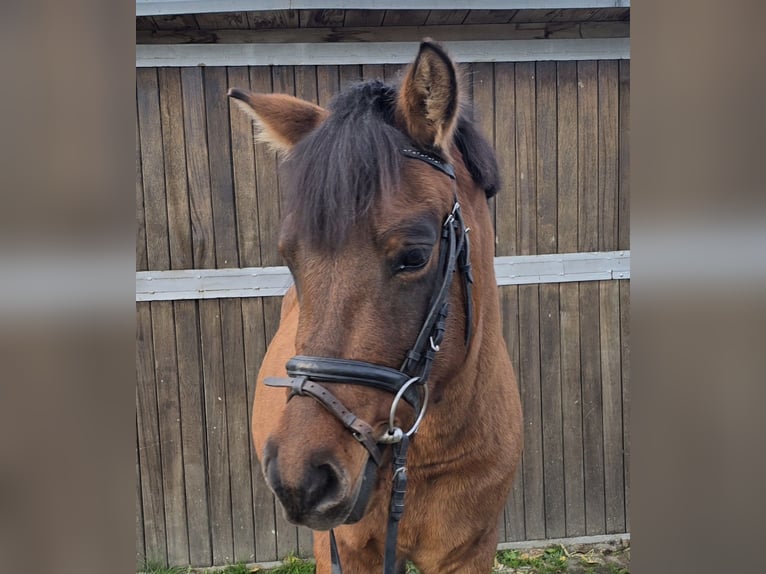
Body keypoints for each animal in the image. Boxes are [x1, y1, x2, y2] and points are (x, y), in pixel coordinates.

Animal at [230, 41, 520, 574]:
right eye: (289, 256)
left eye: (415, 255)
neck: (422, 453)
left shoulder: (470, 552)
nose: (303, 479)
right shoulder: (341, 550)